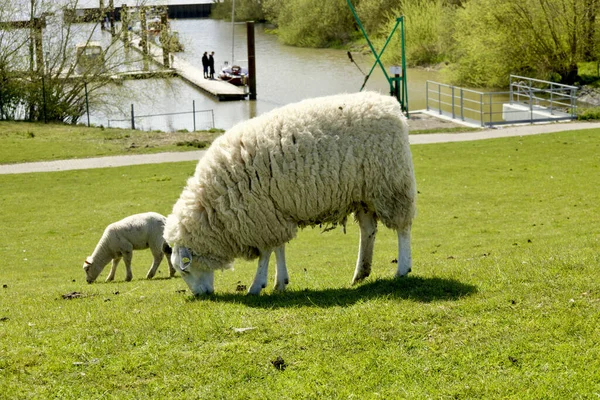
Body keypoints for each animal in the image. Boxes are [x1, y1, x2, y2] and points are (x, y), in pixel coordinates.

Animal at [164, 91, 418, 296]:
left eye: (185, 271)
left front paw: (257, 285)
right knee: (368, 230)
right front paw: (280, 282)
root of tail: (391, 105)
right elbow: (279, 248)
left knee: (403, 228)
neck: (214, 208)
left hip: (392, 184)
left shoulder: (260, 214)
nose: (200, 296)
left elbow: (266, 253)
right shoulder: (273, 212)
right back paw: (360, 272)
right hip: (363, 194)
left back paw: (402, 268)